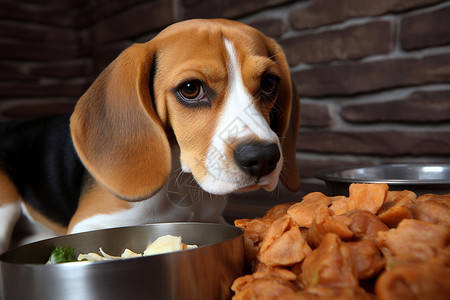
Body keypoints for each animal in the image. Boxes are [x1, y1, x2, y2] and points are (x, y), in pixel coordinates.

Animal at [0, 19, 302, 253]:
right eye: (191, 89)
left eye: (269, 83)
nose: (263, 158)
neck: (183, 188)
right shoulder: (88, 223)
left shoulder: (215, 219)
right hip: (6, 208)